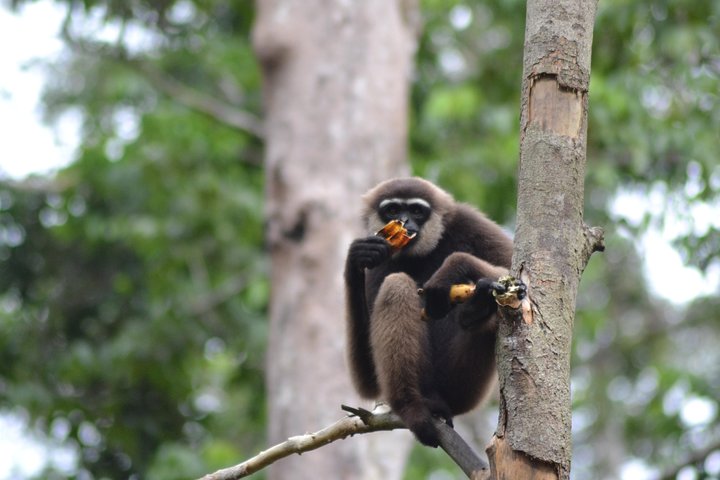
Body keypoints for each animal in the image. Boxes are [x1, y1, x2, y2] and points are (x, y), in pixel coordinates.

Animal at [344, 177, 525, 447]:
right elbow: (368, 382)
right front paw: (355, 260)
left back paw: (477, 308)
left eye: (417, 211)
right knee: (396, 284)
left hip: (462, 388)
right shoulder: (378, 258)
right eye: (393, 210)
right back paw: (413, 407)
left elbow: (521, 283)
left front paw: (453, 268)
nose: (405, 221)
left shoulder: (468, 221)